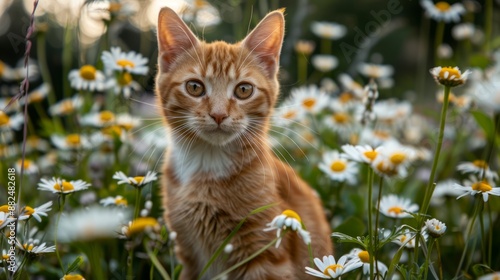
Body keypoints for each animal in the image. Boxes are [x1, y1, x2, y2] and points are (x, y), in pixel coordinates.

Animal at [155, 7, 336, 278]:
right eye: (195, 87)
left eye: (243, 90)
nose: (219, 114)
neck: (207, 163)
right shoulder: (188, 255)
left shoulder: (266, 254)